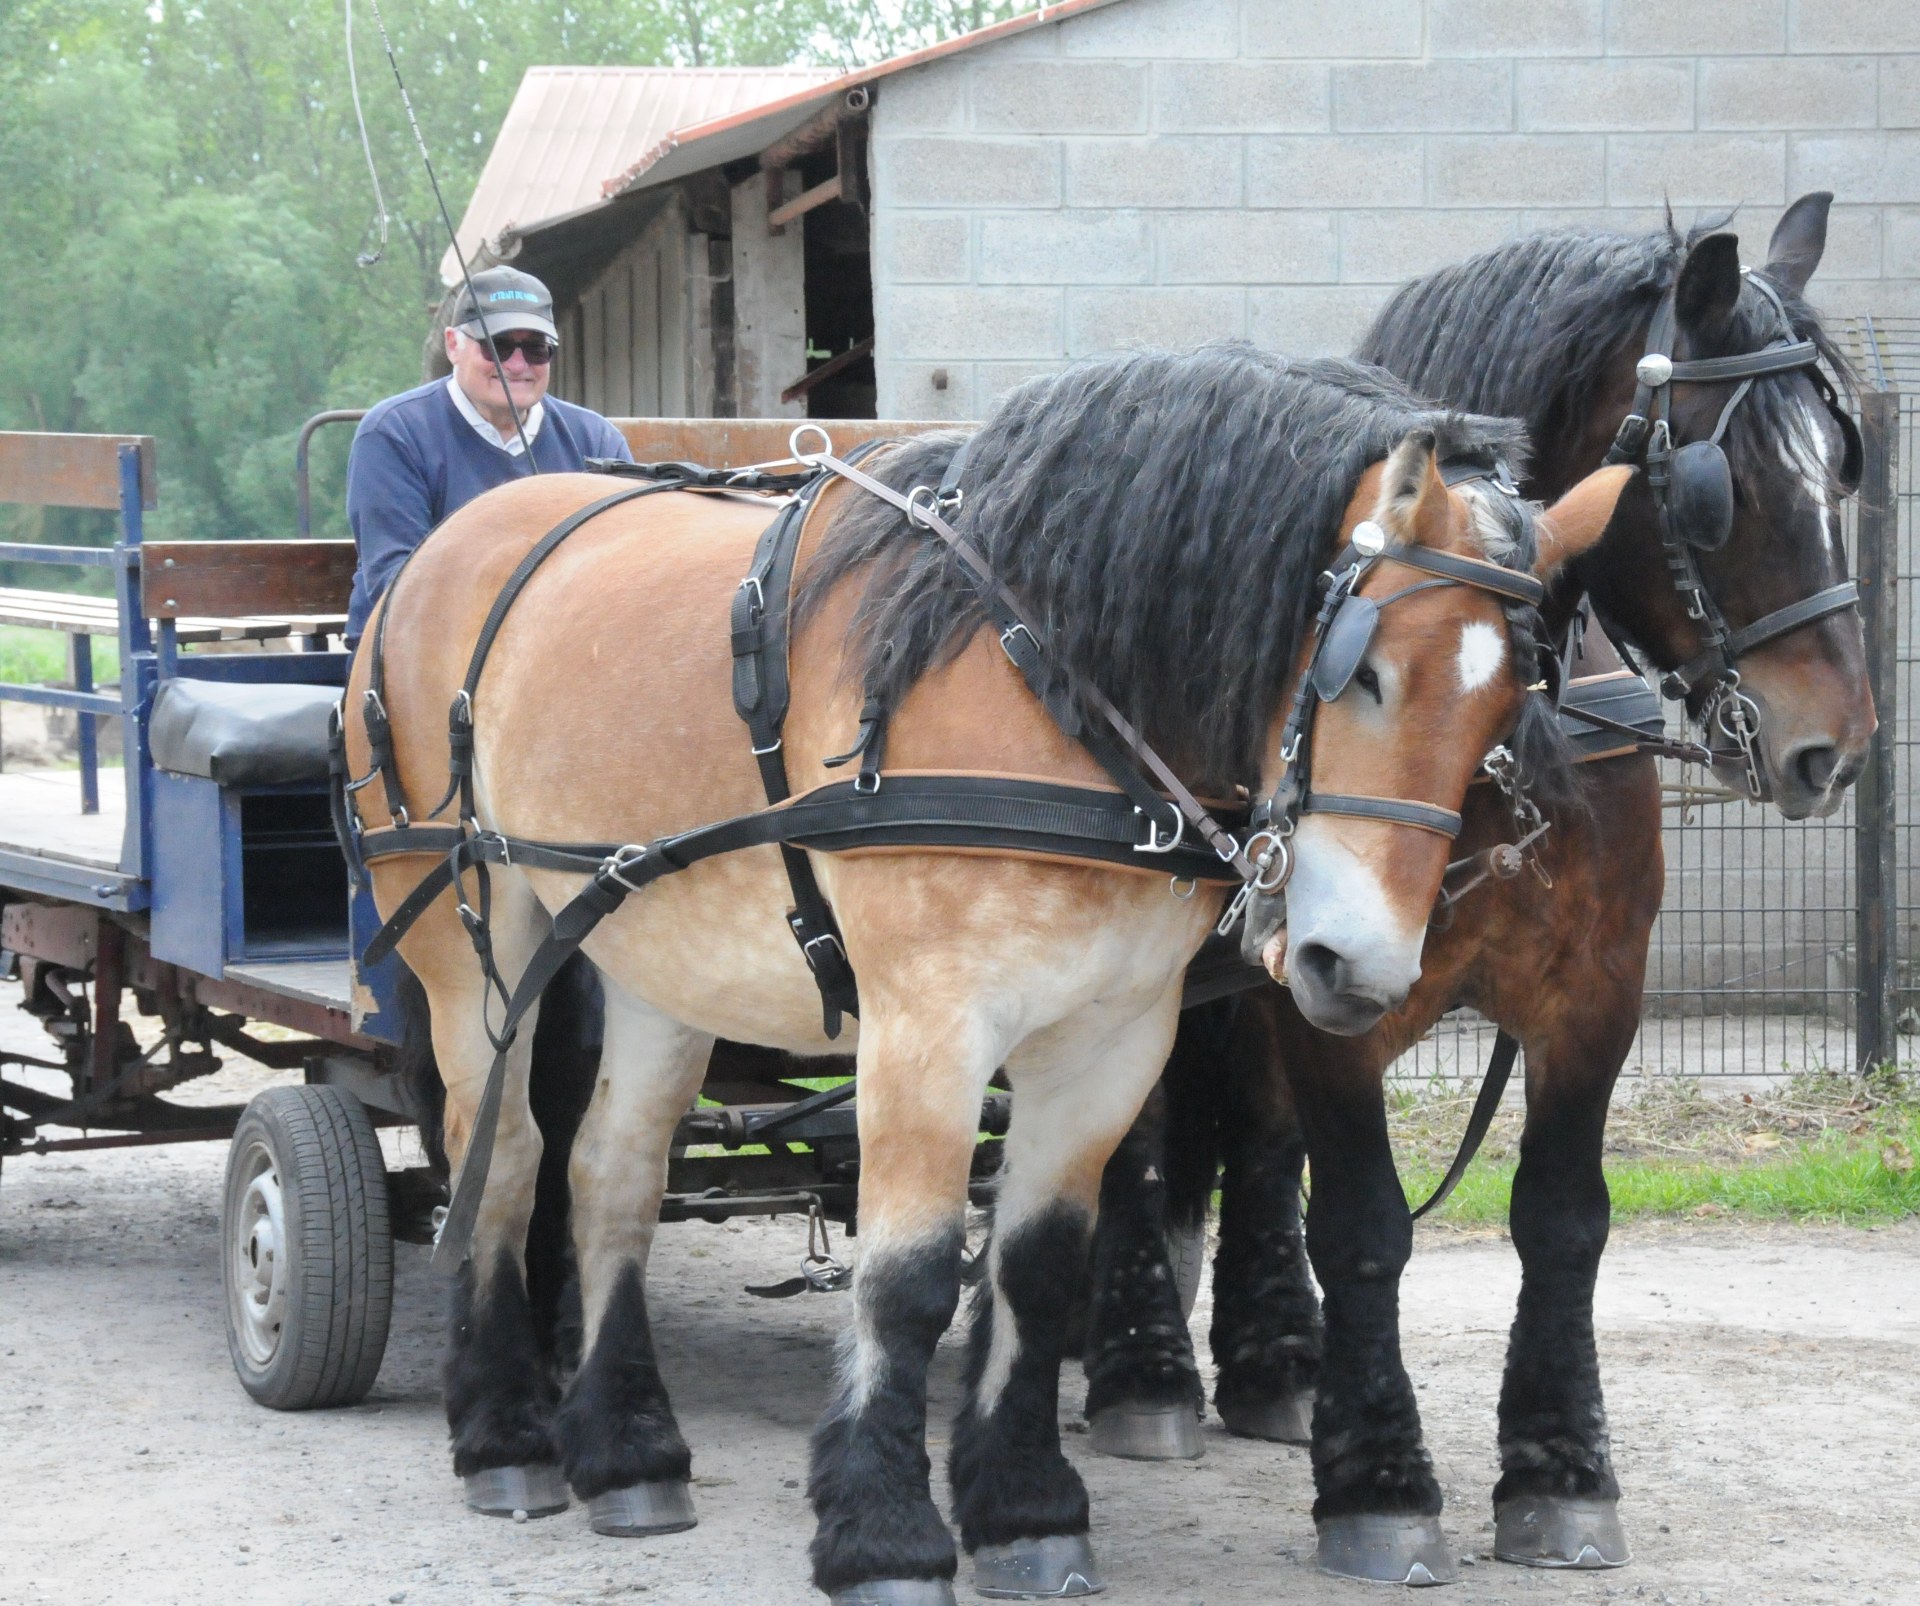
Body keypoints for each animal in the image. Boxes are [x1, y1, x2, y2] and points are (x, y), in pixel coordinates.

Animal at [341, 345, 1620, 1598]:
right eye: (1364, 674)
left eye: (1508, 706)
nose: (1355, 965)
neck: (1049, 691)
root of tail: (443, 550)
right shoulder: (930, 1026)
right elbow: (906, 1278)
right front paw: (884, 1535)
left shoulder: (1114, 1036)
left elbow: (1042, 1263)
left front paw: (1023, 1509)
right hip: (472, 944)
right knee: (501, 1164)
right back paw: (505, 1435)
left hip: (653, 948)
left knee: (611, 1172)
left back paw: (627, 1452)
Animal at [1082, 197, 1873, 1582]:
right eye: (1719, 487)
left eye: (1842, 461)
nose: (1839, 745)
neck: (1501, 747)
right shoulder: (1331, 990)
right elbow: (1365, 1222)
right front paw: (1382, 1483)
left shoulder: (1593, 992)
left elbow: (1562, 1217)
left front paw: (1561, 1468)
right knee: (1133, 1139)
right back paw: (1145, 1371)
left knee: (1248, 1131)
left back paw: (1276, 1361)